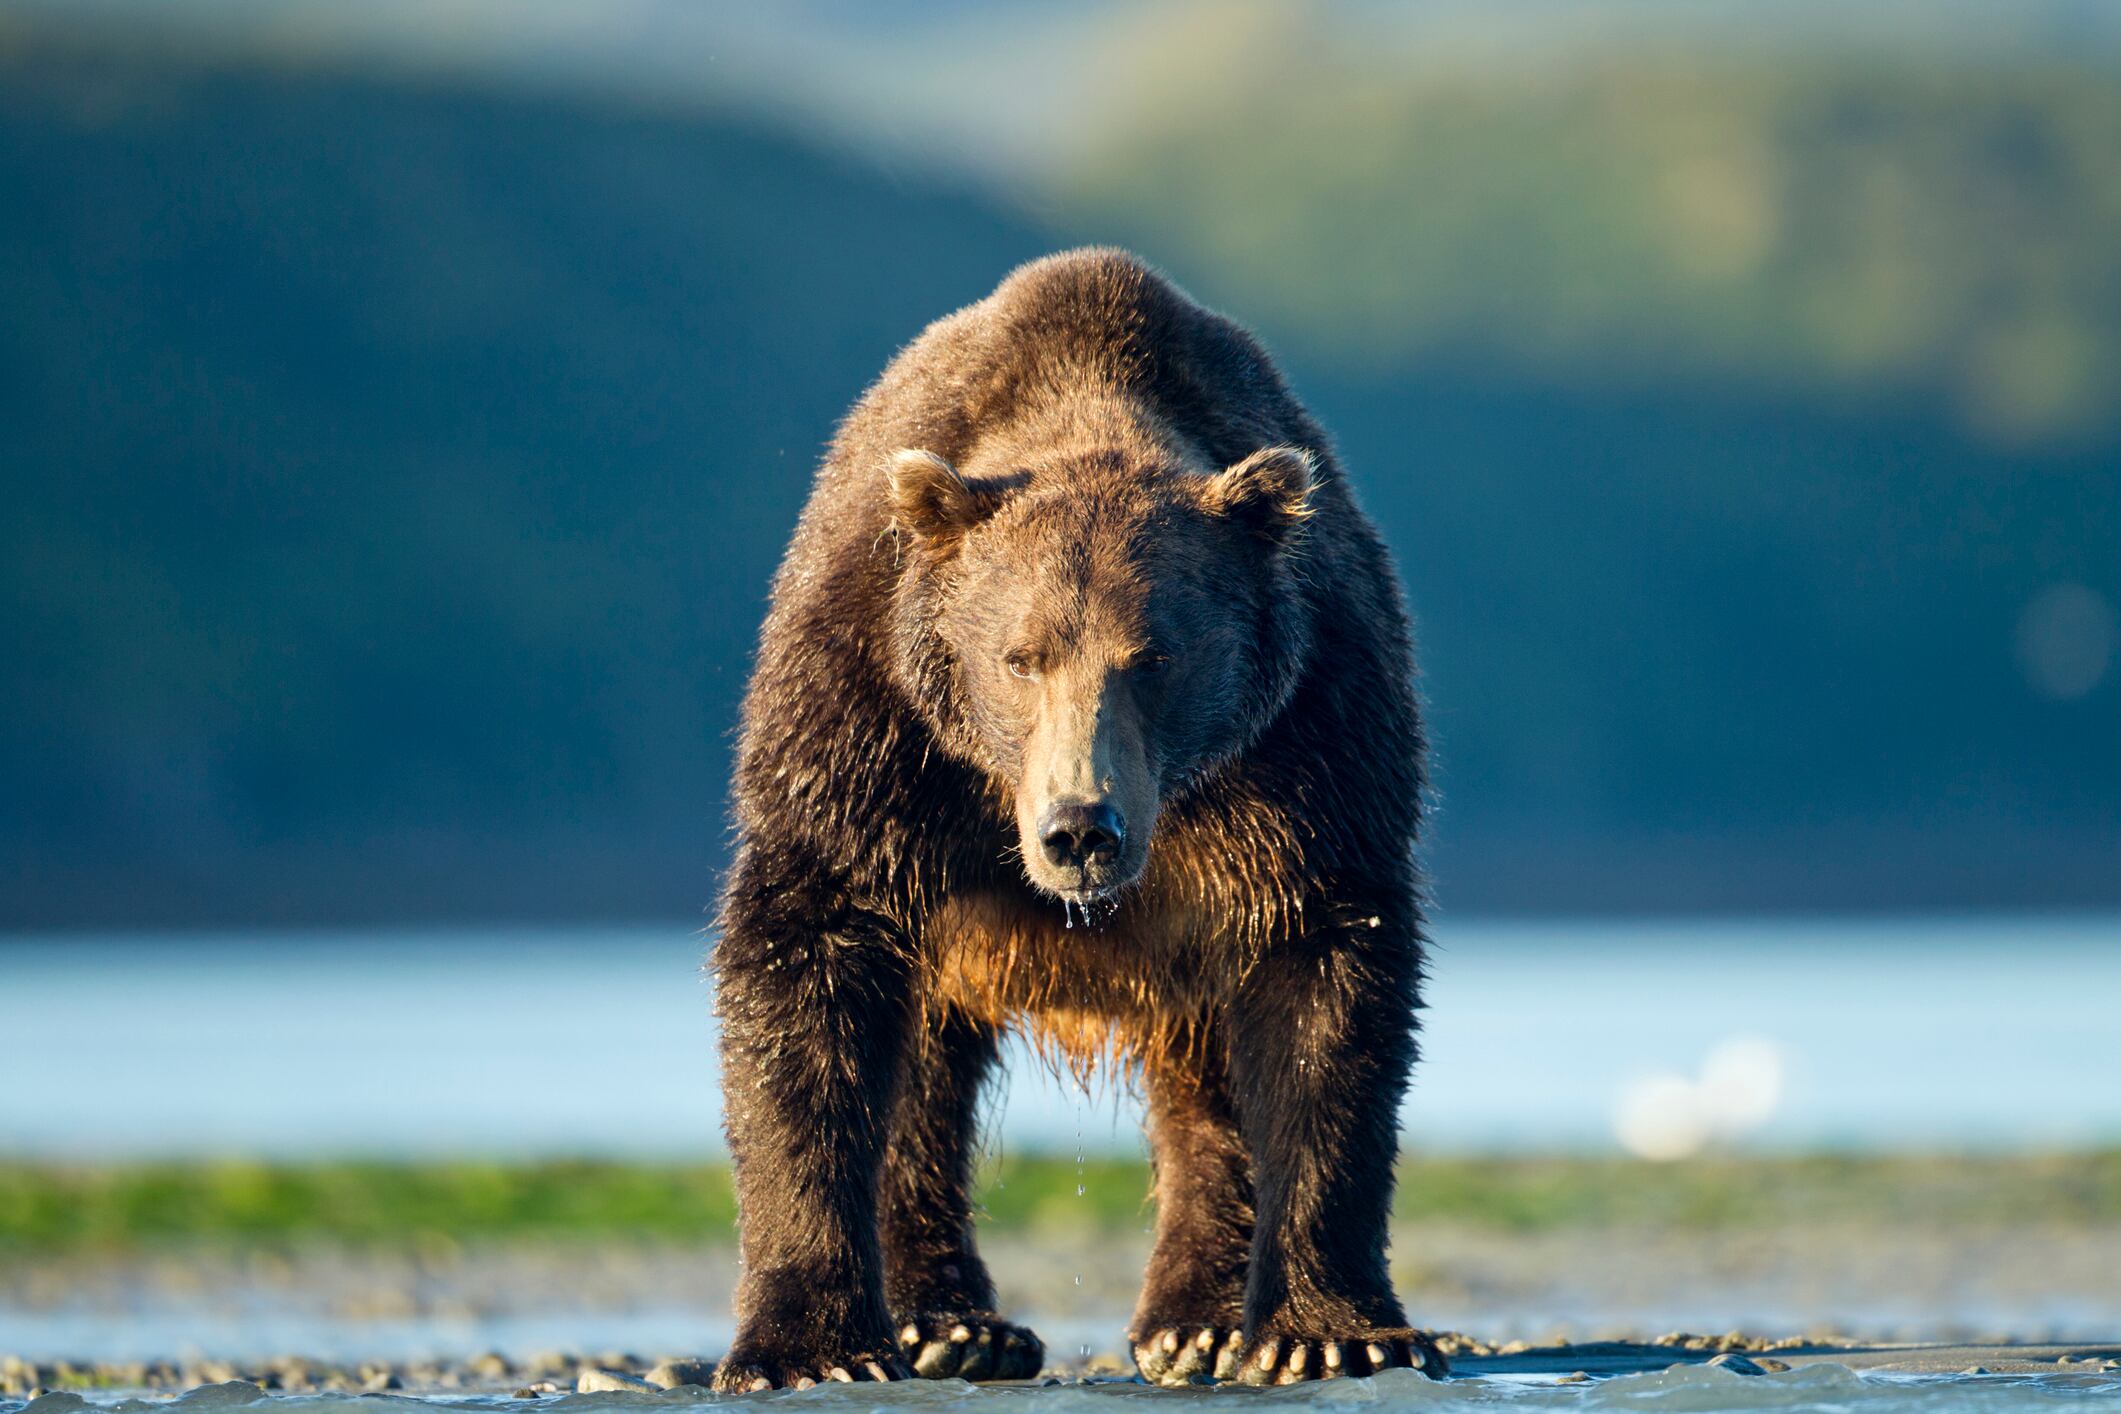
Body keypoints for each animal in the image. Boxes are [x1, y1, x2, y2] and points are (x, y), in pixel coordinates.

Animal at [711, 248, 1440, 1390]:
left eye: (1156, 655)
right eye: (1021, 656)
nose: (1080, 828)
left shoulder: (1310, 740)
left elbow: (1326, 993)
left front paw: (1324, 1331)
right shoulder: (870, 717)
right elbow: (808, 967)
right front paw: (809, 1346)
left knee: (1205, 1081)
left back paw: (1193, 1320)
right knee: (921, 1081)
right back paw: (952, 1324)